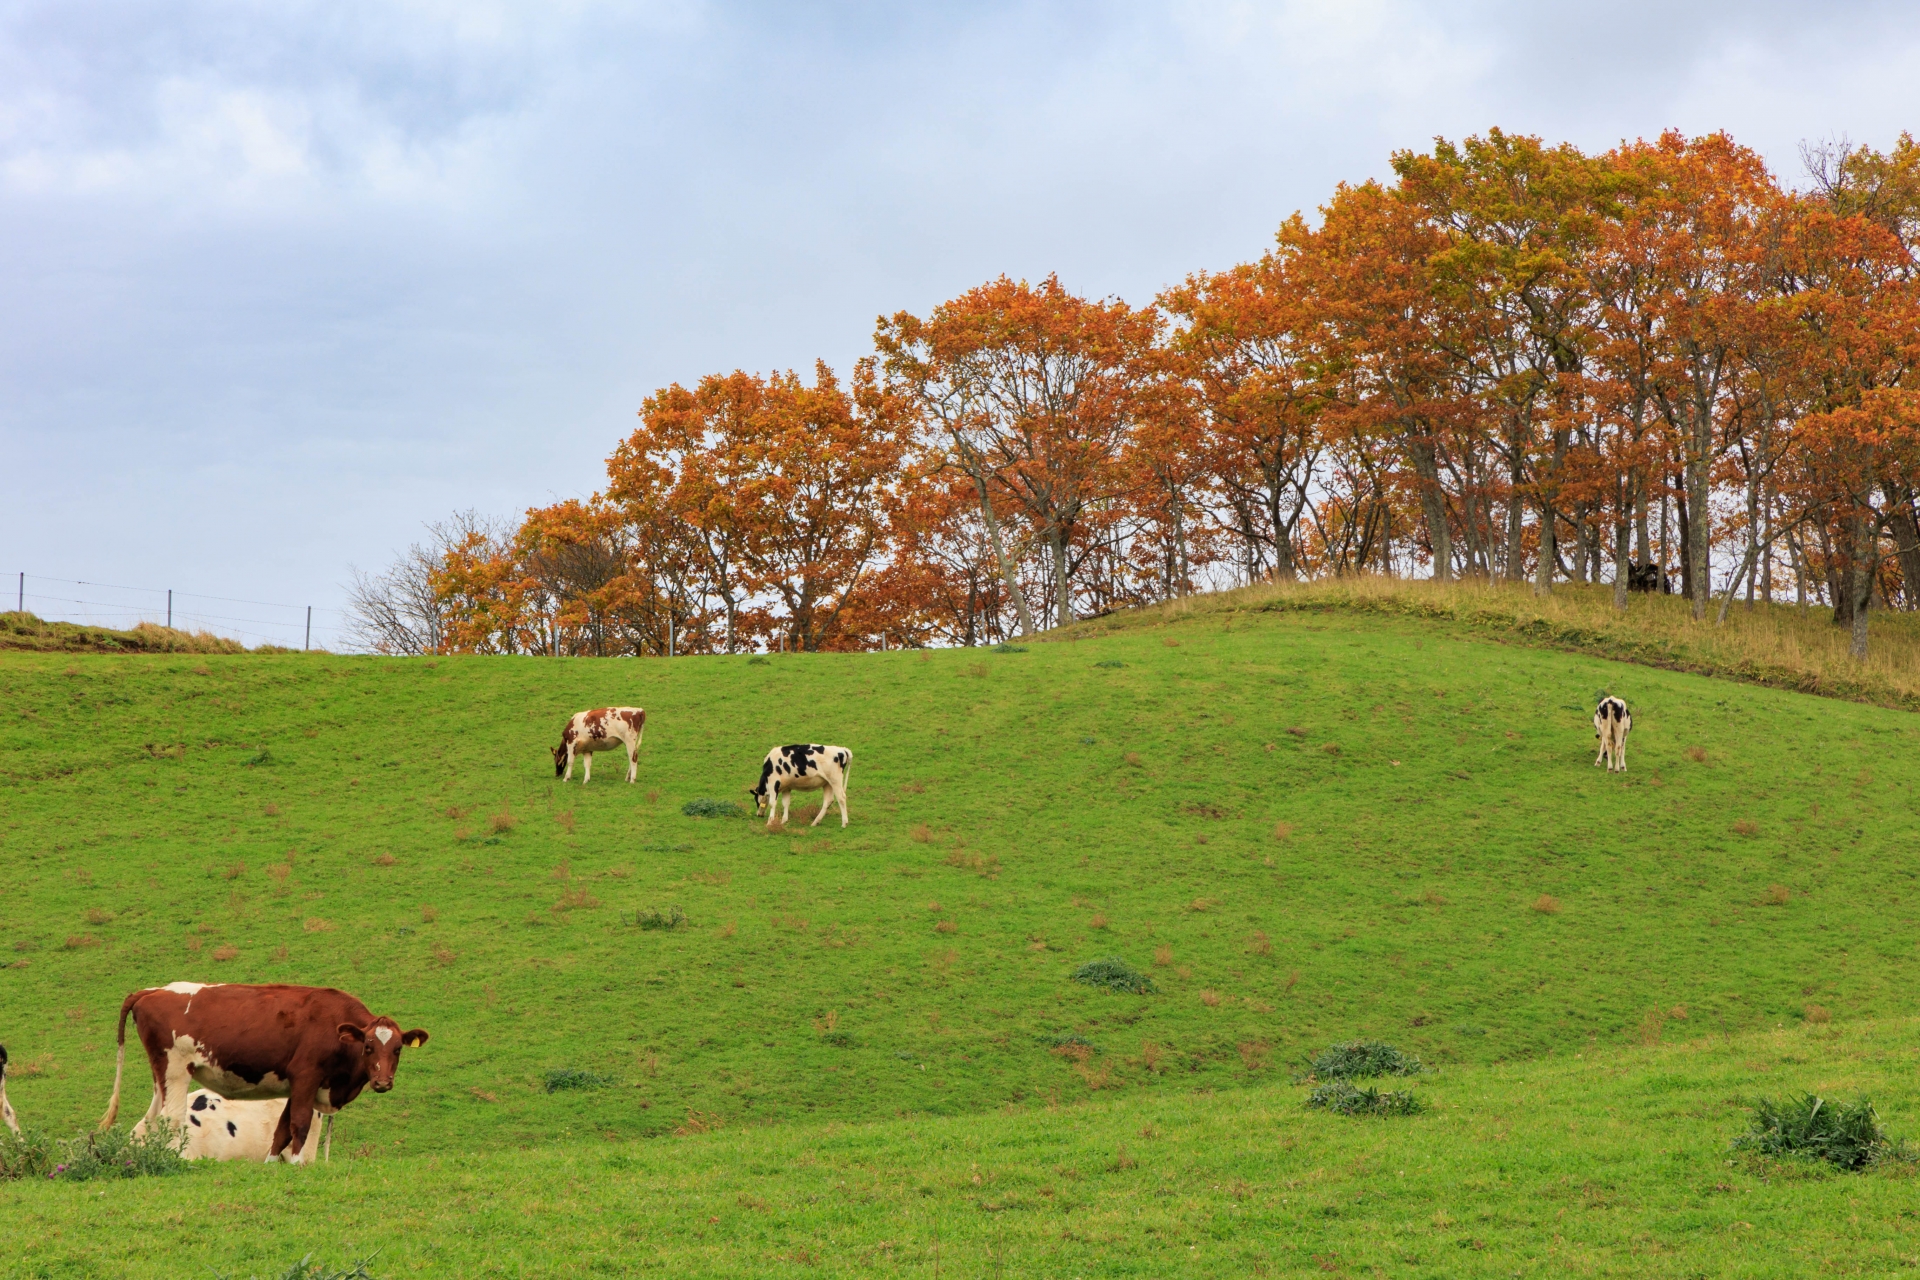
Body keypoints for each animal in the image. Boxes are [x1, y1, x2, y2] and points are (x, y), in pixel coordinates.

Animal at [99, 990, 426, 1166]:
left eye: (398, 1048)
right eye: (368, 1046)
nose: (382, 1082)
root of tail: (151, 990)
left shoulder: (299, 1086)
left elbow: (282, 1130)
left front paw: (270, 1165)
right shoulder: (307, 1077)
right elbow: (298, 1124)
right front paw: (296, 1165)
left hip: (162, 1077)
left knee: (151, 1120)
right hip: (177, 1070)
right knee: (171, 1119)